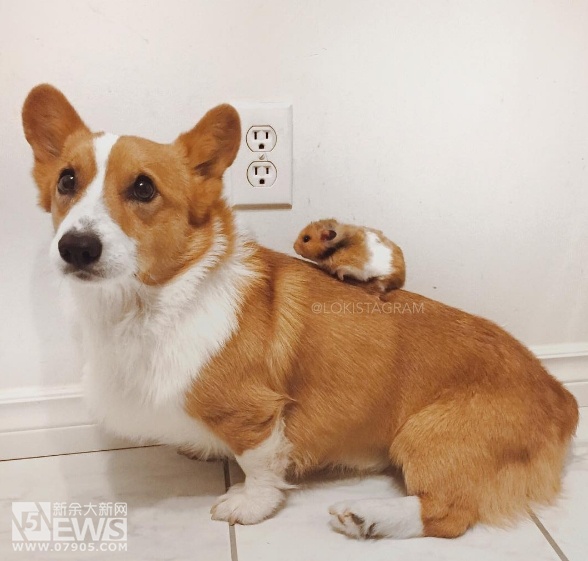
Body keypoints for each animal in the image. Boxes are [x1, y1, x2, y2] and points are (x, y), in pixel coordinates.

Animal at [22, 84, 578, 539]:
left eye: (143, 187)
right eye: (66, 180)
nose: (76, 247)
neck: (149, 302)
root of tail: (561, 396)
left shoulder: (256, 415)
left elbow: (260, 465)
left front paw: (246, 506)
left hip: (424, 435)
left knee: (448, 514)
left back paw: (368, 516)